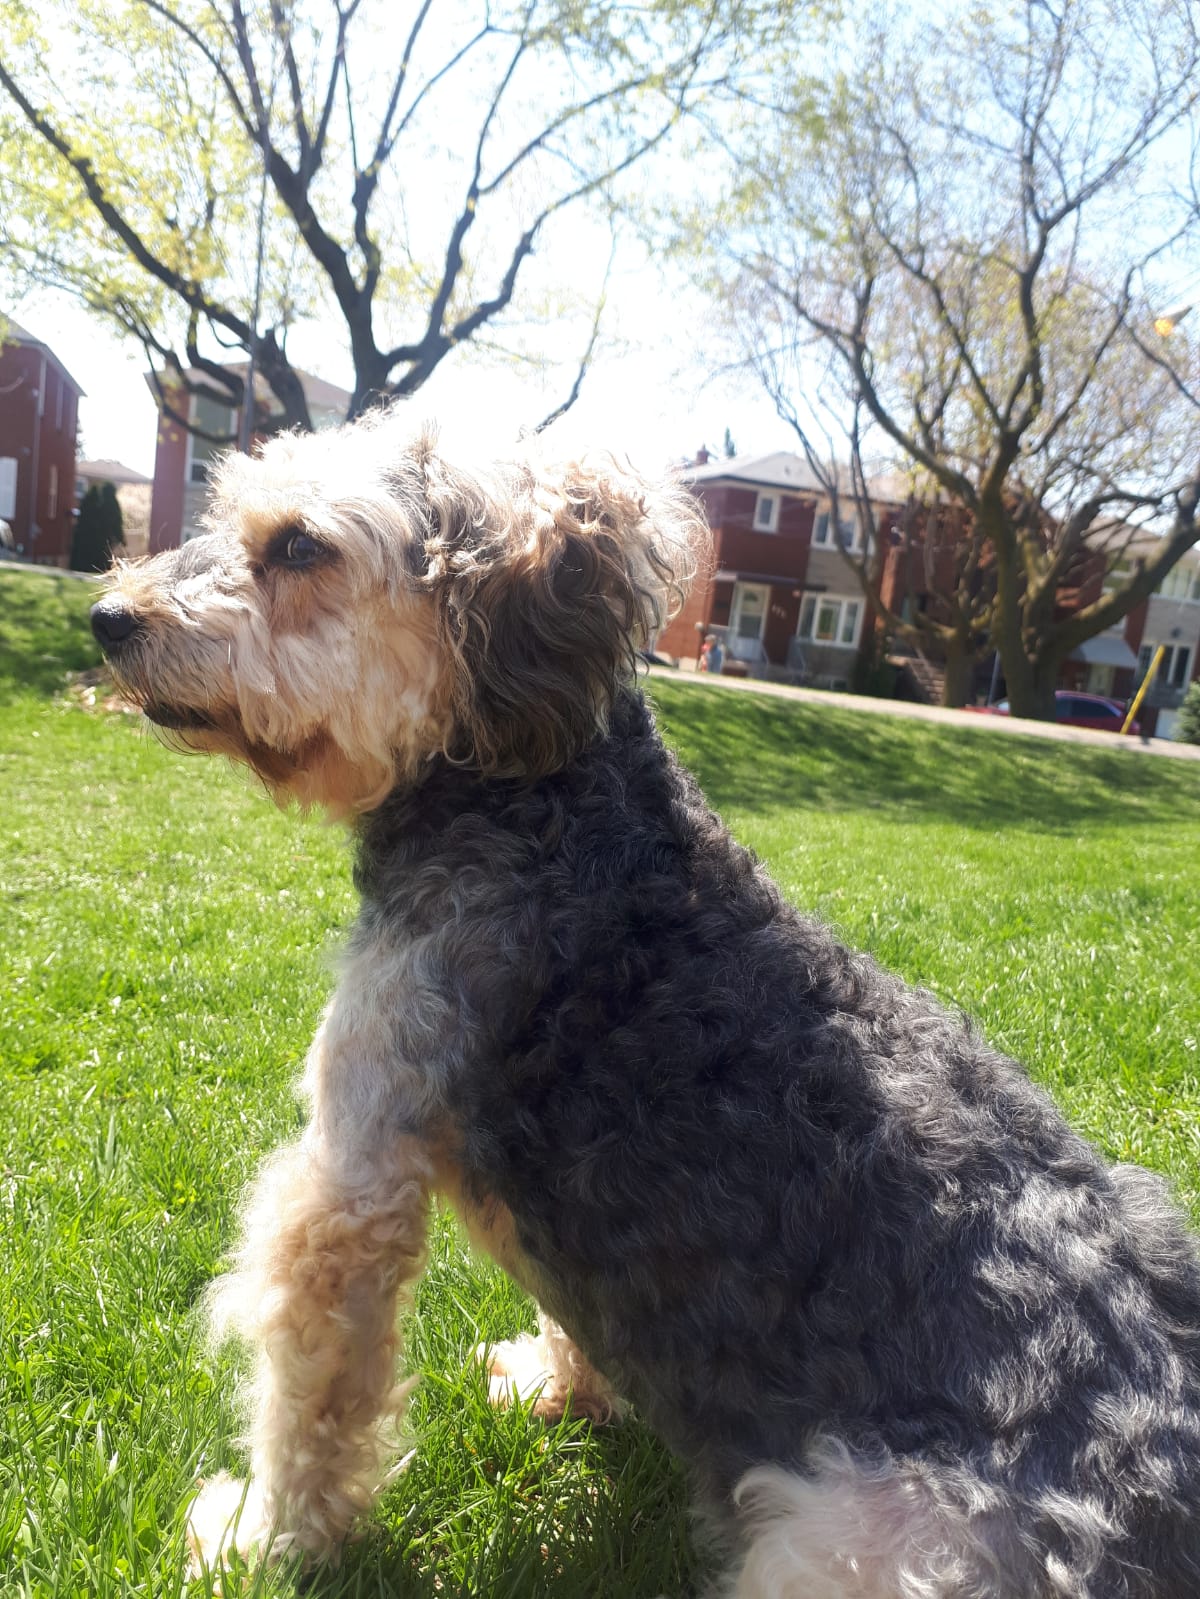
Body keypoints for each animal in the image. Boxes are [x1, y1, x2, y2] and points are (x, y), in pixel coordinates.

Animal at [92, 414, 1200, 1596]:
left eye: (298, 545)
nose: (107, 617)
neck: (544, 809)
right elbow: (573, 1304)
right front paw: (561, 1383)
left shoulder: (350, 1179)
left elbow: (312, 1398)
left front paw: (262, 1538)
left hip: (843, 1536)